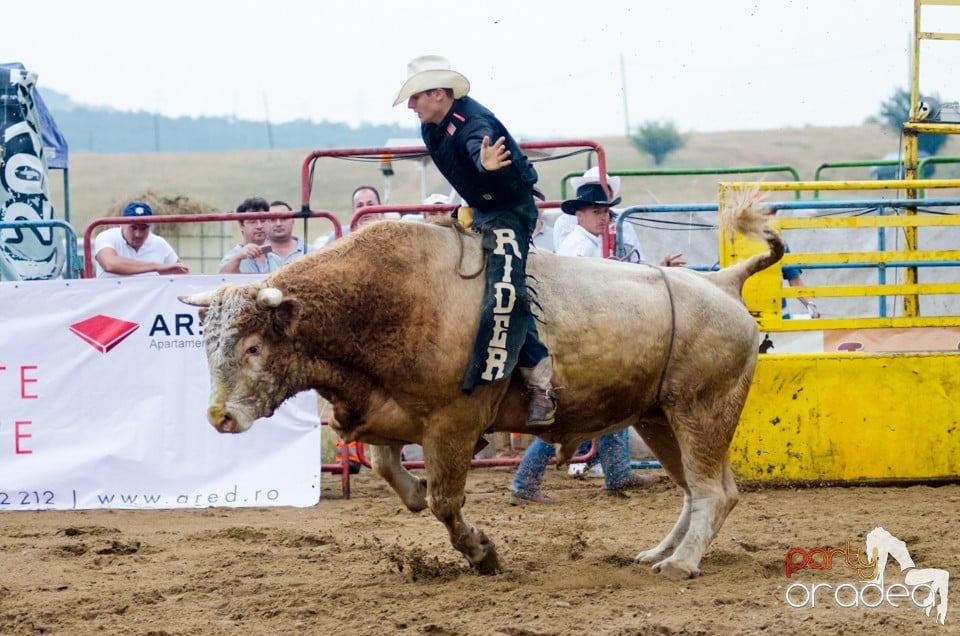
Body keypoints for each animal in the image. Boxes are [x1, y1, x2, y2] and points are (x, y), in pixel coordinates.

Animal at [180, 191, 780, 580]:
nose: (220, 417)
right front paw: (414, 491)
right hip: (659, 418)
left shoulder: (454, 424)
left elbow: (445, 501)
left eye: (252, 347)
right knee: (699, 491)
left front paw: (482, 553)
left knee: (713, 491)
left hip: (701, 411)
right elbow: (390, 472)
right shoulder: (390, 414)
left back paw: (681, 563)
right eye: (207, 344)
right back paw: (659, 553)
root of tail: (723, 284)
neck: (386, 299)